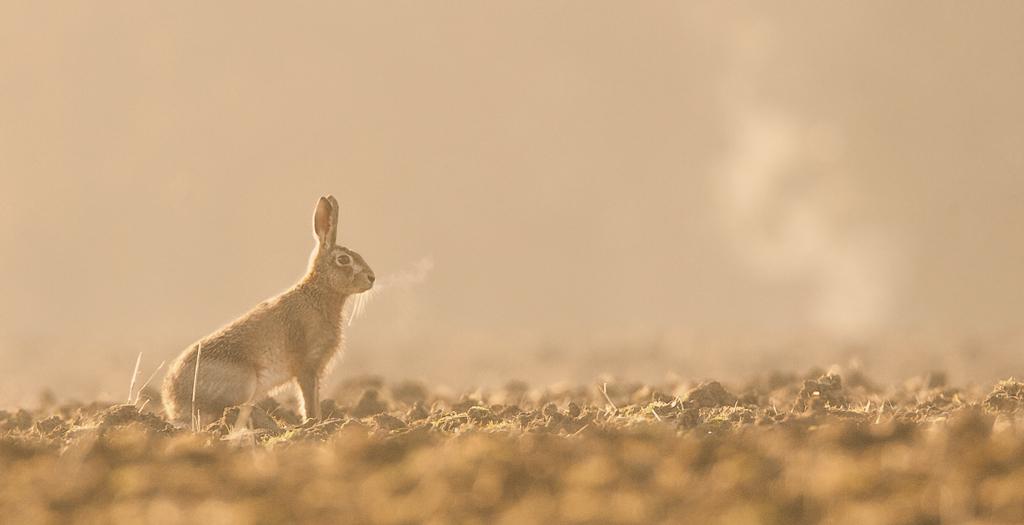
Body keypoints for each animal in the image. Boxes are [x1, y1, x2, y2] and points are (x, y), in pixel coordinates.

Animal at [162, 195, 375, 424]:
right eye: (343, 259)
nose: (372, 277)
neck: (319, 292)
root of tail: (172, 401)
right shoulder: (307, 365)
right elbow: (308, 400)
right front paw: (312, 423)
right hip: (245, 383)